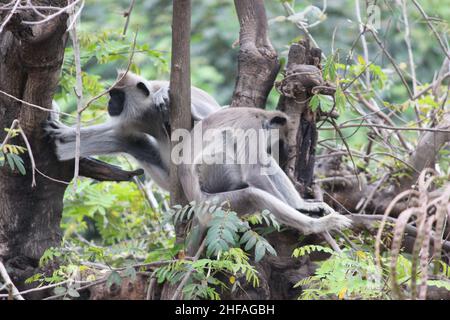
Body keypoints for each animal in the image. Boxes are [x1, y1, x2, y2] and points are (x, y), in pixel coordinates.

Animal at [45, 70, 220, 190]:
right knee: (127, 142)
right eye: (111, 95)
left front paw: (163, 94)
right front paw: (65, 131)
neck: (149, 111)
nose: (110, 103)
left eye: (117, 96)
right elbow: (116, 131)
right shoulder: (132, 120)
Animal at [178, 107, 352, 238]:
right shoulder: (251, 127)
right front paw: (295, 209)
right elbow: (253, 173)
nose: (281, 151)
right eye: (279, 142)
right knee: (251, 193)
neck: (260, 116)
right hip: (214, 202)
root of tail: (196, 206)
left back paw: (302, 205)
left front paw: (300, 207)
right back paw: (315, 225)